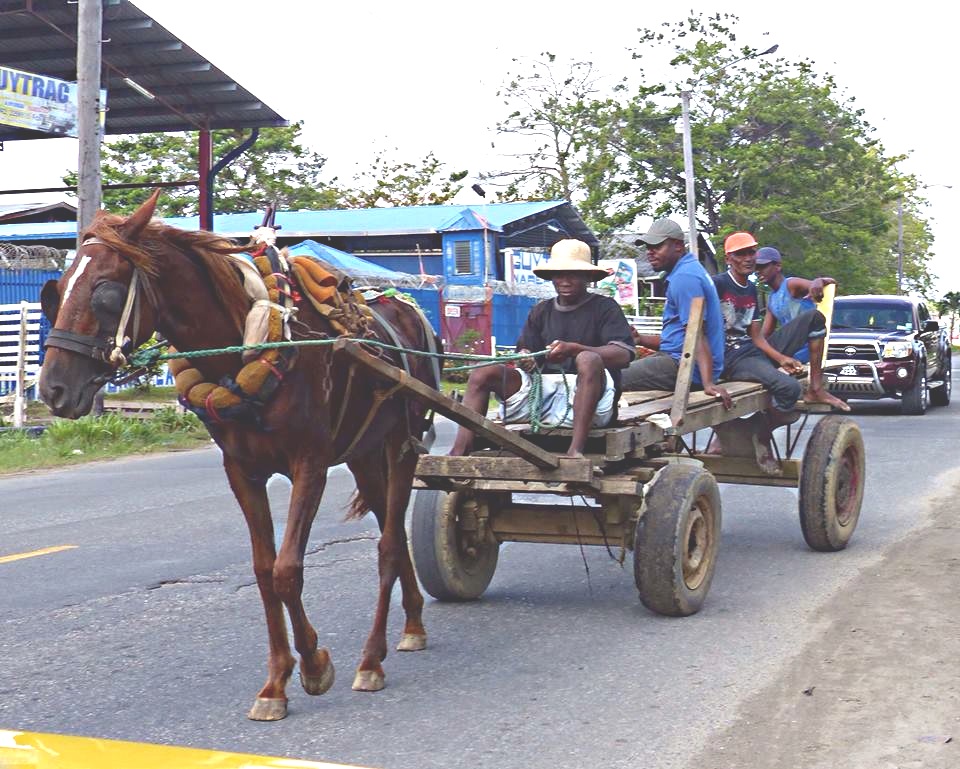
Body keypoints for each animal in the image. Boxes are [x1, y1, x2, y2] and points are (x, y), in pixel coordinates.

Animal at [37, 192, 440, 720]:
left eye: (105, 292)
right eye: (59, 289)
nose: (52, 388)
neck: (247, 348)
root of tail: (406, 308)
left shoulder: (310, 463)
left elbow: (288, 570)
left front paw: (314, 664)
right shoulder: (241, 471)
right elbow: (264, 572)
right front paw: (276, 683)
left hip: (401, 442)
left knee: (389, 543)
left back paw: (372, 658)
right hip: (364, 450)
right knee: (388, 528)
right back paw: (411, 623)